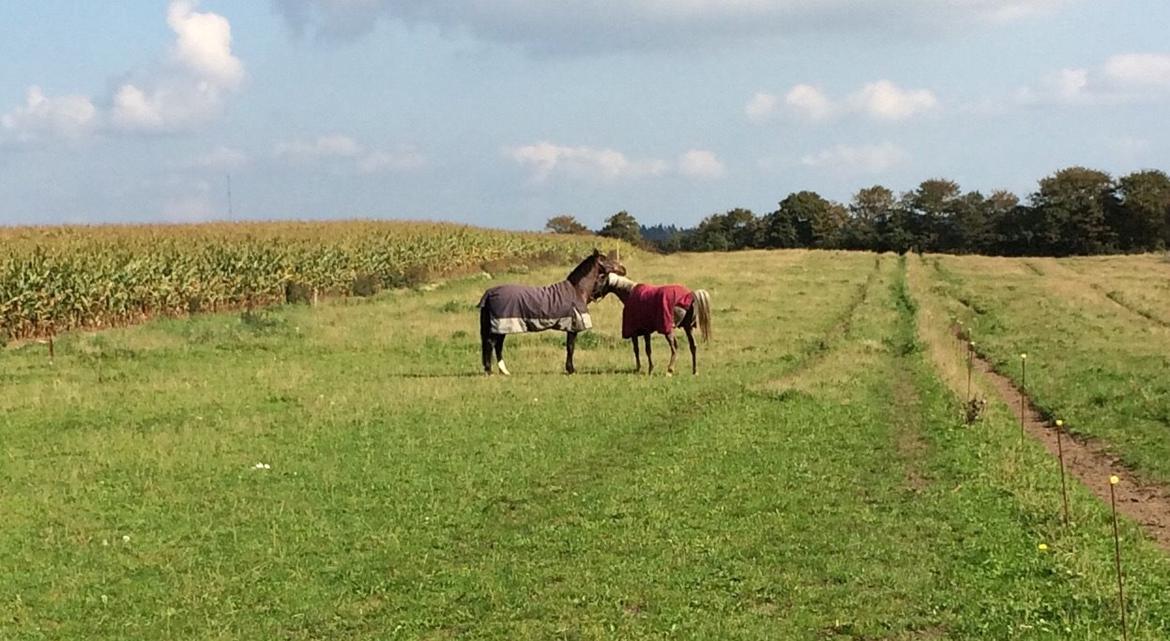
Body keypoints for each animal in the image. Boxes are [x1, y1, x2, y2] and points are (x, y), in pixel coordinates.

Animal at [477, 247, 622, 371]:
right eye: (604, 259)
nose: (623, 269)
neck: (577, 290)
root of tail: (489, 293)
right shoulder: (573, 327)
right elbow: (570, 347)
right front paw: (570, 369)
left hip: (502, 327)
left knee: (496, 345)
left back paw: (504, 371)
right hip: (501, 326)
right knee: (491, 344)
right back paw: (490, 370)